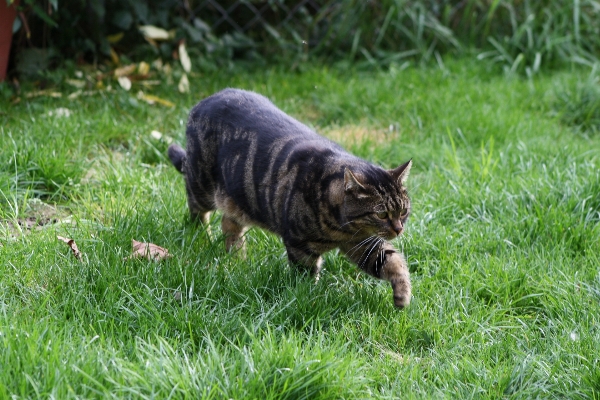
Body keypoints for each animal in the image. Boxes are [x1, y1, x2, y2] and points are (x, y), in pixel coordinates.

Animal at [169, 89, 412, 308]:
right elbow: (305, 278)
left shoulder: (361, 244)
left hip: (239, 200)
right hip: (201, 185)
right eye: (382, 214)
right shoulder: (299, 244)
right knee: (196, 211)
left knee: (229, 223)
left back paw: (237, 258)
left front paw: (403, 294)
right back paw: (201, 235)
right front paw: (310, 297)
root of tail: (203, 101)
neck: (341, 229)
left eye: (403, 211)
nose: (398, 229)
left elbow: (393, 261)